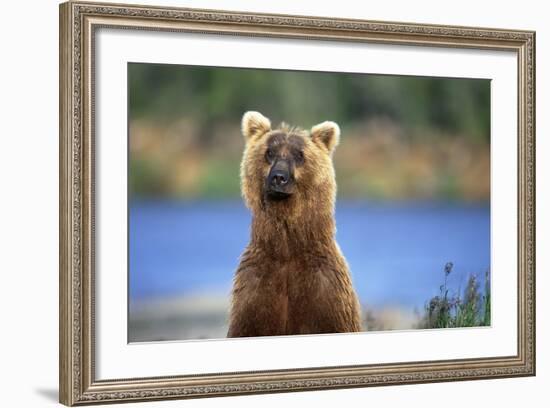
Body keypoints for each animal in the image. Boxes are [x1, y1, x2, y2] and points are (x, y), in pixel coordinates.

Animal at [226, 110, 364, 336]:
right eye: (269, 152)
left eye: (299, 155)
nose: (278, 177)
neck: (287, 249)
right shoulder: (255, 290)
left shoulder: (325, 292)